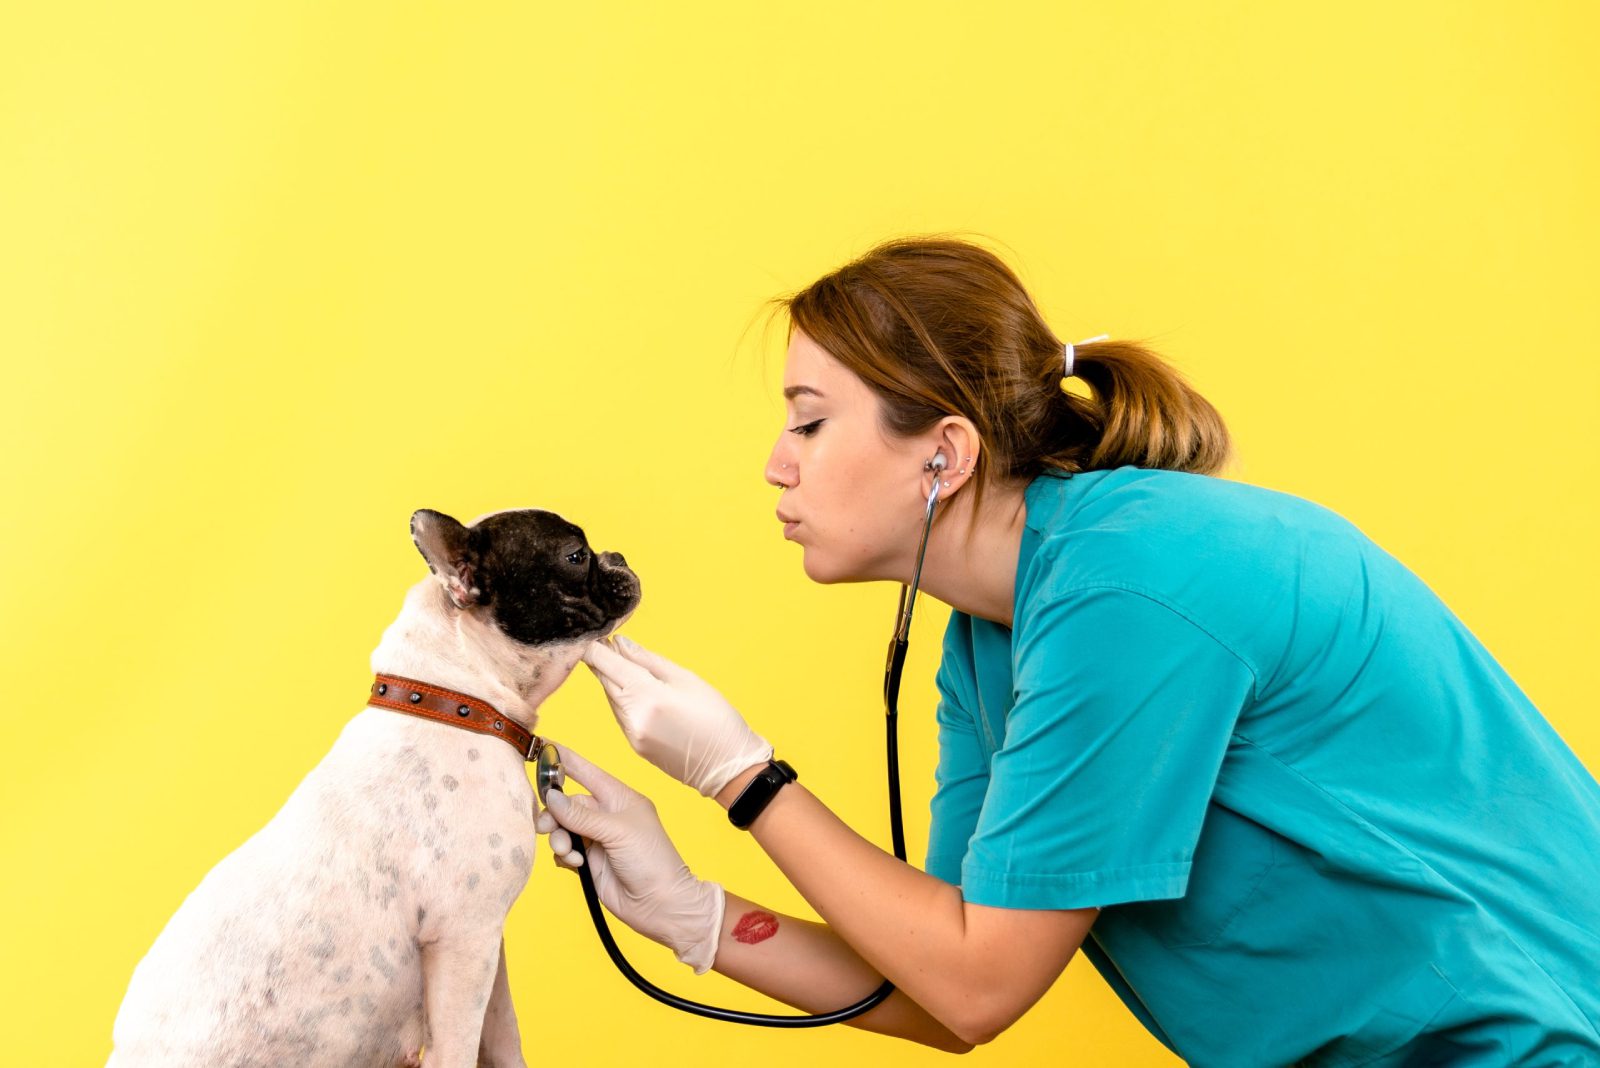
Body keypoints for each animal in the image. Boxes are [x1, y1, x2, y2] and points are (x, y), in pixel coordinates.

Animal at [106, 508, 636, 1068]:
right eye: (575, 556)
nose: (618, 556)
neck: (459, 702)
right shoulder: (464, 939)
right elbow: (458, 1049)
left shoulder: (486, 948)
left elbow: (504, 1037)